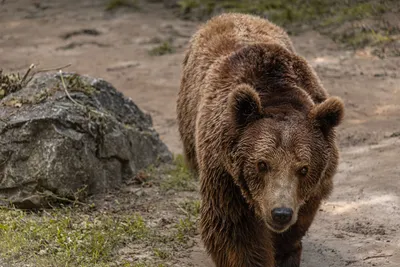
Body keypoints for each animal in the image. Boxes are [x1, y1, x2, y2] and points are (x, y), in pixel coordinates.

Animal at [177, 13, 346, 267]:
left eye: (303, 168)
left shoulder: (317, 181)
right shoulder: (225, 172)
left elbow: (298, 220)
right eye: (262, 164)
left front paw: (286, 251)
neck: (276, 93)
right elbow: (236, 230)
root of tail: (230, 15)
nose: (281, 213)